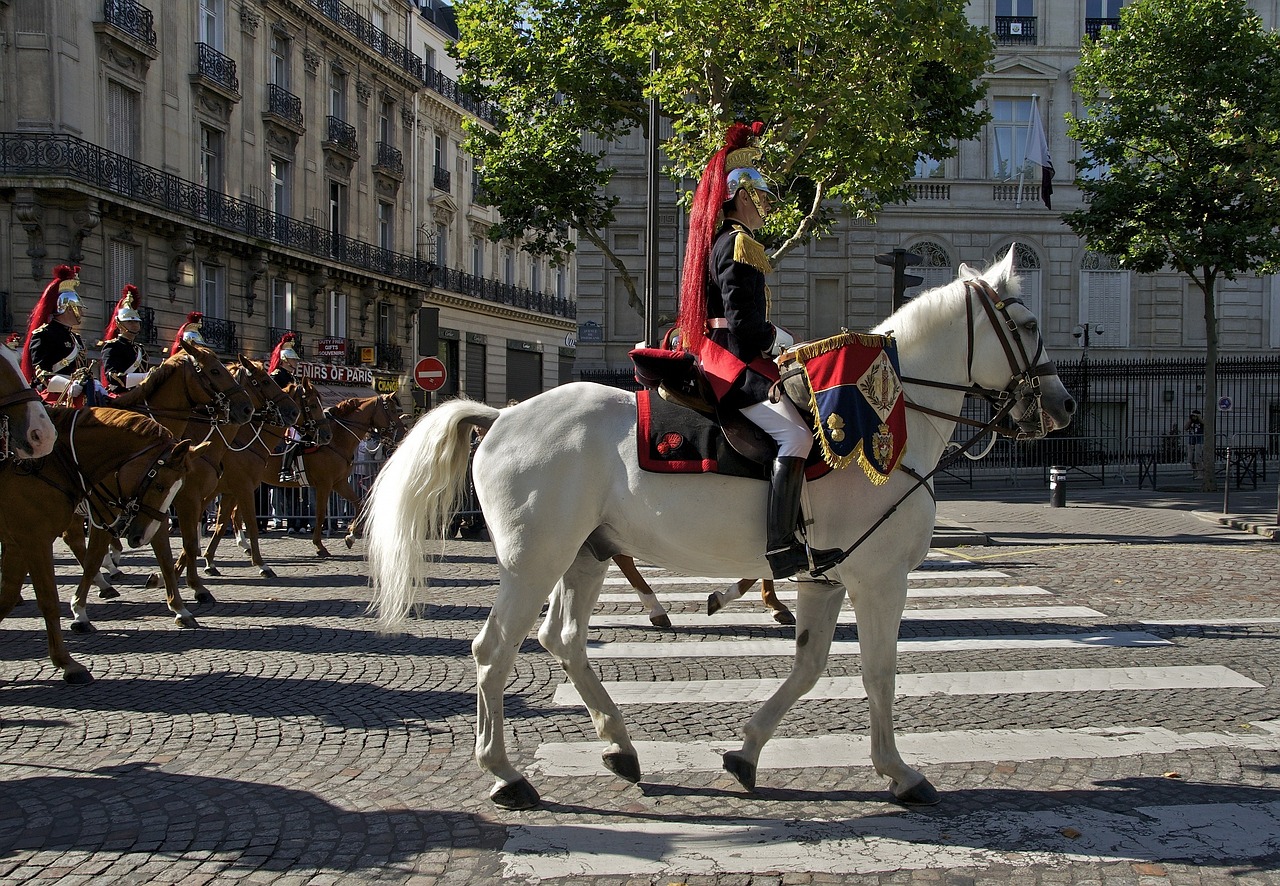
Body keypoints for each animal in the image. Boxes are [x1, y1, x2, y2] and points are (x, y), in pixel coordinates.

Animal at [0, 407, 194, 686]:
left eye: (175, 488)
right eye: (159, 485)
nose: (139, 538)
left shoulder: (18, 542)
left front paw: (179, 607)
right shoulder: (37, 538)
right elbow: (55, 593)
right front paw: (72, 648)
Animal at [366, 249, 1075, 809]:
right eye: (1028, 323)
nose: (1064, 405)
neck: (882, 418)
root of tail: (504, 415)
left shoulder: (825, 579)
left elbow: (810, 667)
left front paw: (746, 753)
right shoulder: (880, 581)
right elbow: (878, 674)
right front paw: (899, 773)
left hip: (587, 554)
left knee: (560, 639)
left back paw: (619, 746)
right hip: (533, 560)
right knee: (494, 650)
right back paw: (505, 774)